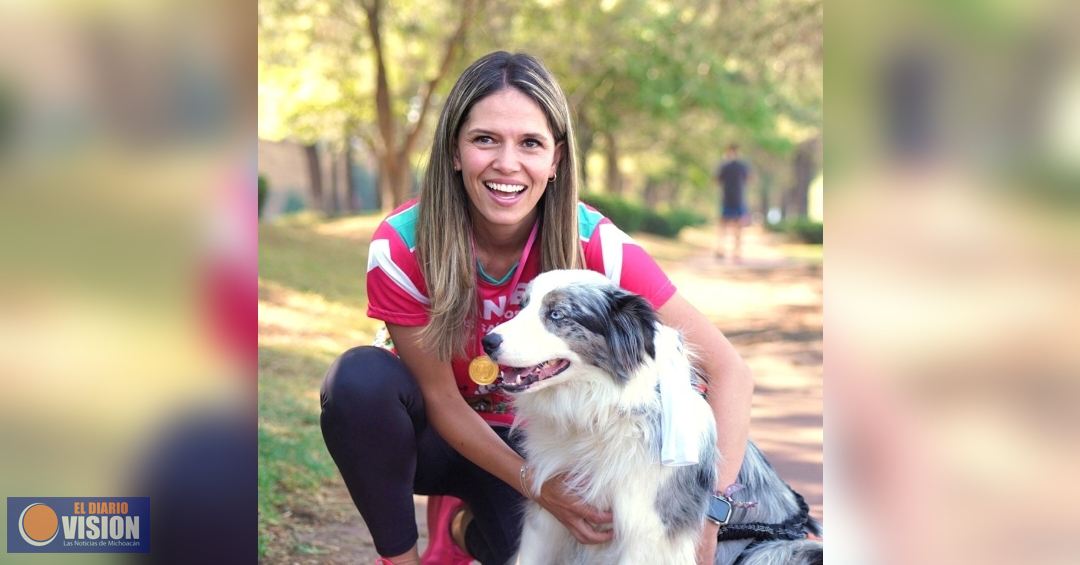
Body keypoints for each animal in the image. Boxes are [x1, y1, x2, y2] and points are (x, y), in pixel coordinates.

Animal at [481, 272, 816, 561]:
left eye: (556, 314)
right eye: (522, 306)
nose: (488, 342)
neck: (598, 415)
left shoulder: (647, 534)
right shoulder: (550, 513)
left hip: (778, 550)